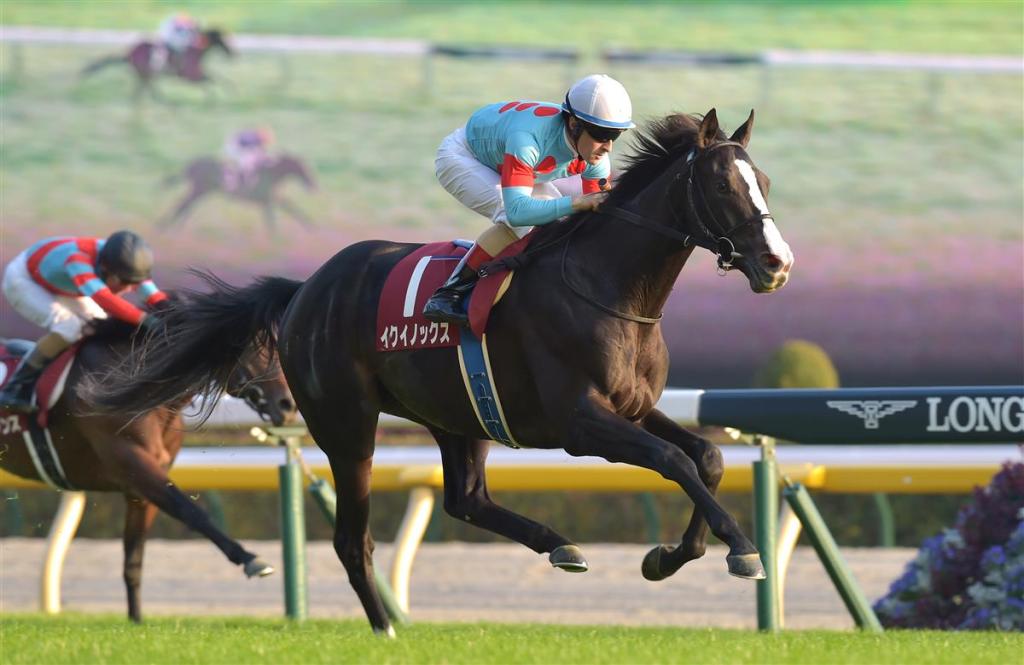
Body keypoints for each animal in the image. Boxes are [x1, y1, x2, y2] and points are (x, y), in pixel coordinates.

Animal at [0, 293, 298, 623]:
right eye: (256, 346)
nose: (287, 405)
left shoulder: (140, 487)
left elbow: (134, 559)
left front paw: (137, 620)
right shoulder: (136, 466)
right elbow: (191, 511)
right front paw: (251, 559)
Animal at [80, 29, 233, 102]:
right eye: (222, 39)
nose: (231, 52)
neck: (195, 51)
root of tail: (129, 54)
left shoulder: (195, 74)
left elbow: (214, 78)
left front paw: (227, 90)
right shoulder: (190, 76)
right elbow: (211, 80)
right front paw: (215, 96)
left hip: (144, 73)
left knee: (144, 88)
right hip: (146, 72)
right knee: (148, 88)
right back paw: (162, 101)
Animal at [159, 155, 317, 233]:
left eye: (306, 167)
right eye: (302, 167)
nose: (313, 184)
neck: (271, 174)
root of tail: (191, 165)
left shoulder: (270, 199)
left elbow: (284, 211)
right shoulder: (269, 199)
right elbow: (283, 212)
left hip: (201, 191)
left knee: (185, 206)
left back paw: (170, 226)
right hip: (199, 190)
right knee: (182, 205)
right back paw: (165, 226)